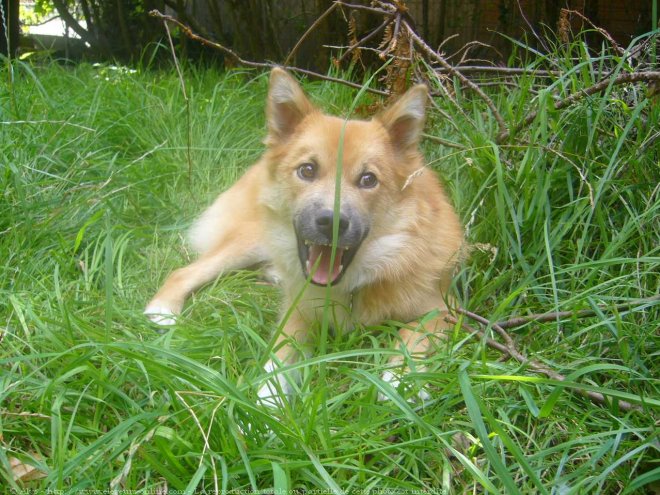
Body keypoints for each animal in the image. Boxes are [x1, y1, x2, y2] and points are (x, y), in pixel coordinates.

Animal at [146, 68, 462, 404]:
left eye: (368, 179)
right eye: (307, 170)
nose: (331, 222)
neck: (356, 282)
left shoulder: (444, 309)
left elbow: (413, 336)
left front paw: (399, 379)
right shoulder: (298, 314)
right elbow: (282, 356)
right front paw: (268, 398)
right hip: (250, 241)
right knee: (185, 271)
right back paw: (162, 309)